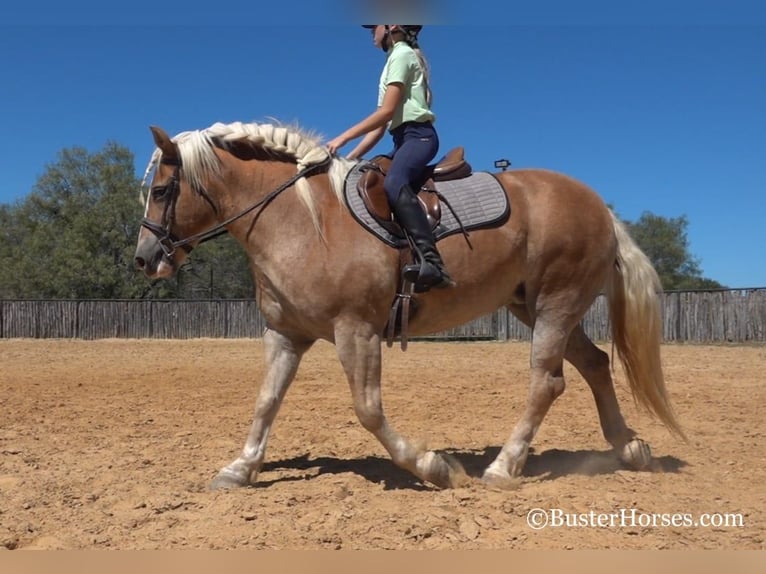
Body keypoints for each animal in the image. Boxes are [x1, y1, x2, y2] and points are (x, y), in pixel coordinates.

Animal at [132, 120, 684, 490]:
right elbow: (266, 401)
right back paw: (629, 447)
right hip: (535, 307)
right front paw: (240, 468)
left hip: (556, 305)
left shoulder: (356, 331)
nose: (144, 258)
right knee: (596, 364)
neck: (304, 222)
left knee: (547, 382)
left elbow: (368, 410)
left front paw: (432, 466)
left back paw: (503, 466)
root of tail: (599, 207)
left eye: (160, 190)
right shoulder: (286, 334)